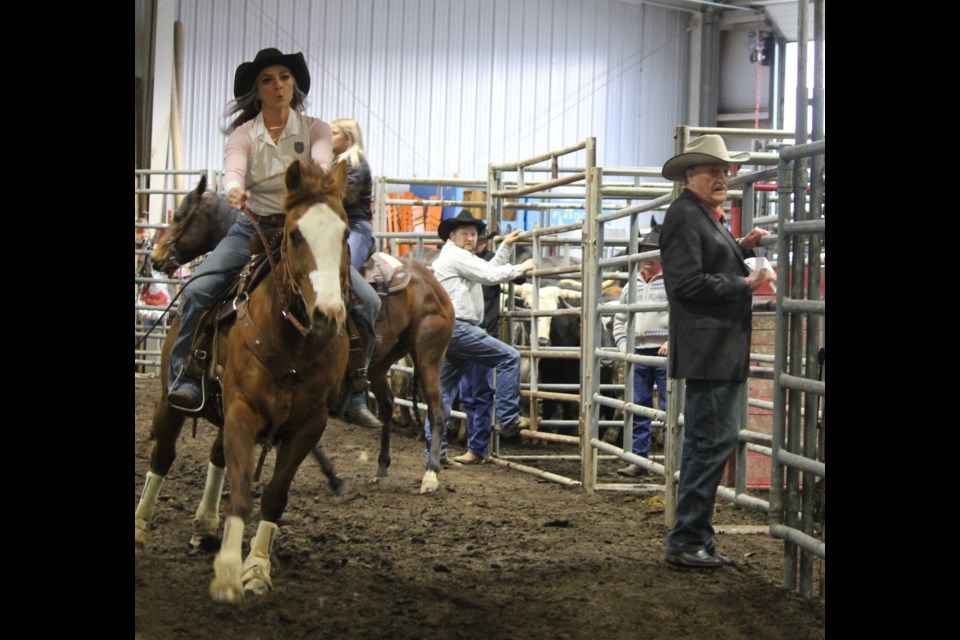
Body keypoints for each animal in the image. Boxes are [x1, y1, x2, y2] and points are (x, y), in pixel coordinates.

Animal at [146, 166, 454, 496]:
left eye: (179, 216)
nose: (156, 257)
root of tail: (434, 284)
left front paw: (334, 478)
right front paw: (333, 476)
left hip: (428, 355)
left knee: (437, 409)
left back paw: (431, 473)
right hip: (381, 363)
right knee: (385, 407)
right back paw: (382, 466)